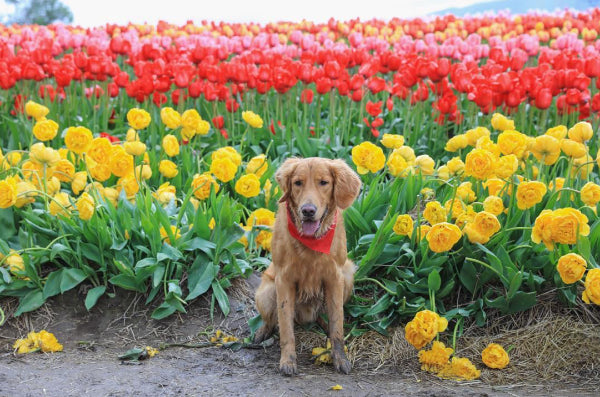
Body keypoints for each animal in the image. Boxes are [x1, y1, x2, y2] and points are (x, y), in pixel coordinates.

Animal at [253, 157, 360, 374]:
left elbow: (337, 325)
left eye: (324, 182)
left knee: (326, 318)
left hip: (348, 274)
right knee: (272, 321)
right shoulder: (284, 280)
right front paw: (288, 361)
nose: (308, 211)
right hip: (266, 293)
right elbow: (286, 328)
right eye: (298, 183)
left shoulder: (335, 277)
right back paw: (262, 332)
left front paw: (340, 358)